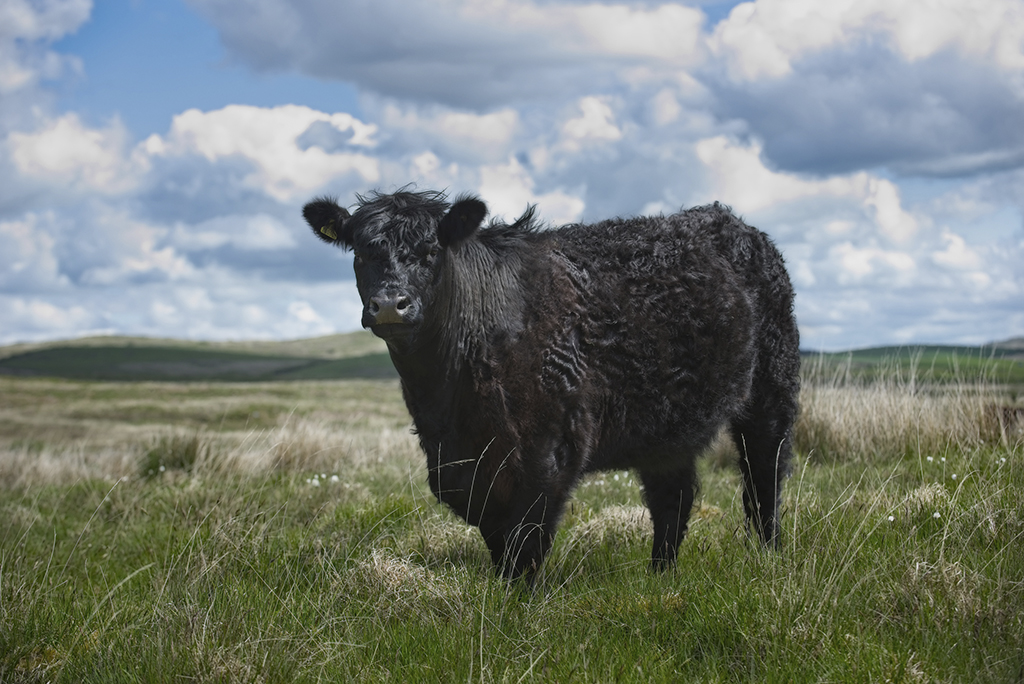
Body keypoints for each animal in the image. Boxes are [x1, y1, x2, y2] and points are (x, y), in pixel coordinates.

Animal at [303, 189, 798, 581]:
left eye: (430, 251)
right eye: (361, 253)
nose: (390, 304)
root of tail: (725, 217)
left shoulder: (549, 447)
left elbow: (526, 542)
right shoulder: (459, 465)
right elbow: (498, 539)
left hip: (772, 389)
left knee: (764, 477)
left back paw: (768, 559)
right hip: (667, 426)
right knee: (672, 499)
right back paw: (660, 577)